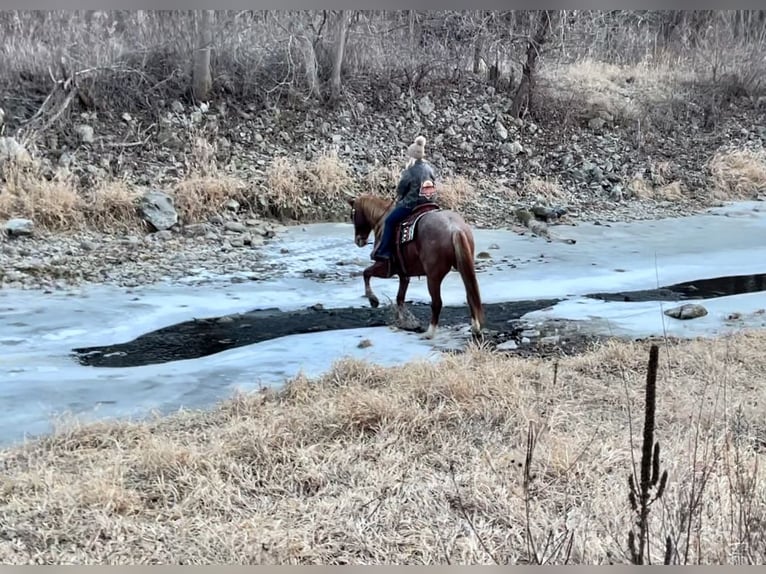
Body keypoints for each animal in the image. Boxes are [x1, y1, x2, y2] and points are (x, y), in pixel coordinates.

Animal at [348, 197, 486, 342]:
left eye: (352, 215)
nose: (358, 240)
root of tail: (454, 227)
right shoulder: (404, 275)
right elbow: (400, 298)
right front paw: (406, 322)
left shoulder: (385, 268)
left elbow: (366, 273)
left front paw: (373, 300)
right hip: (463, 267)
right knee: (470, 296)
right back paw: (475, 329)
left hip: (433, 277)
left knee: (437, 303)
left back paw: (429, 333)